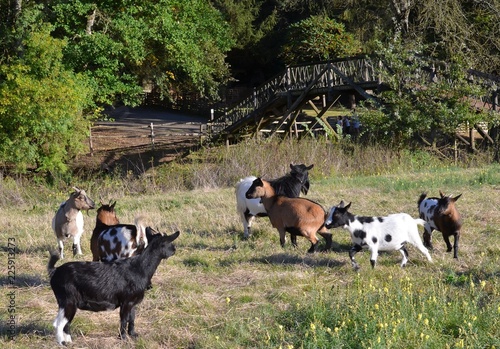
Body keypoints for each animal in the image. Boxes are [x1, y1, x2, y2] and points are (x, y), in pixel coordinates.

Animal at [47, 230, 180, 344]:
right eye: (168, 243)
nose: (175, 249)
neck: (139, 268)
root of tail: (55, 271)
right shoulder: (125, 302)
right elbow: (124, 320)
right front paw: (124, 338)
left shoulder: (133, 303)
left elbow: (132, 319)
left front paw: (133, 335)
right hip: (68, 301)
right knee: (59, 323)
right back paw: (63, 343)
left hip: (66, 303)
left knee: (64, 323)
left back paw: (69, 341)